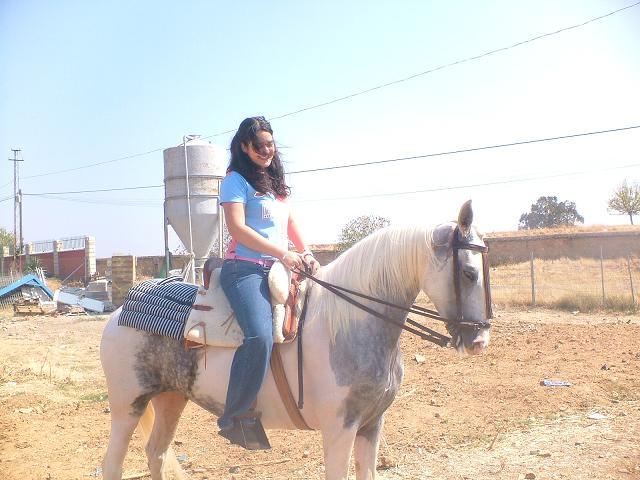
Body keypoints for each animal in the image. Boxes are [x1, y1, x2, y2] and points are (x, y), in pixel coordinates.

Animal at [100, 200, 492, 480]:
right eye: (469, 273)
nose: (479, 340)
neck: (349, 325)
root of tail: (121, 311)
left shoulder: (371, 425)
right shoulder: (339, 429)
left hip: (170, 398)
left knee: (156, 454)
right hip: (127, 406)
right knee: (113, 465)